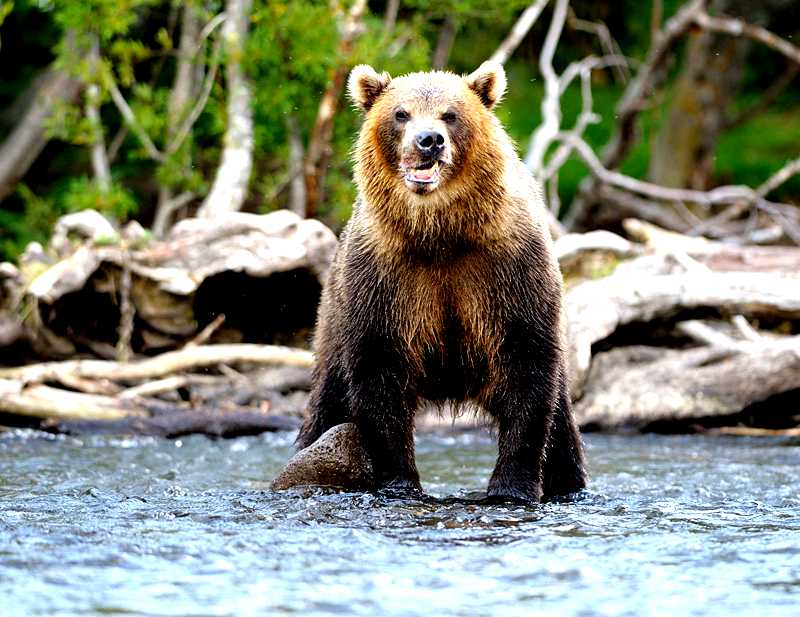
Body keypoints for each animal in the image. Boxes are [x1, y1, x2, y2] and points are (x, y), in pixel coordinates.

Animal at [296, 61, 584, 500]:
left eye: (450, 114)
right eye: (401, 114)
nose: (429, 140)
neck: (440, 234)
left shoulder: (510, 267)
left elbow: (527, 366)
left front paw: (511, 486)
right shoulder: (385, 277)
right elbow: (379, 370)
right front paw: (399, 482)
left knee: (563, 427)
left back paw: (569, 482)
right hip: (332, 320)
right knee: (327, 407)